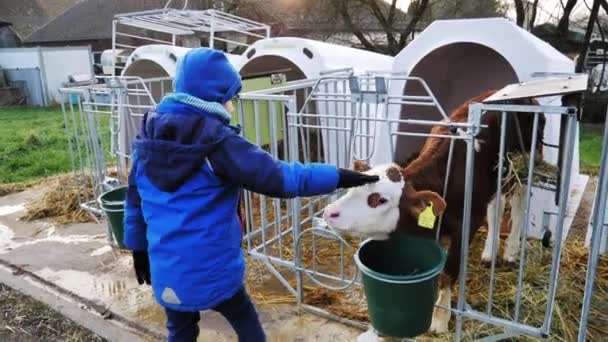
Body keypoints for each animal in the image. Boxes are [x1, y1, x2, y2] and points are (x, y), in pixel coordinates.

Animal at [324, 89, 548, 332]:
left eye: (380, 200)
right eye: (353, 188)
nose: (329, 211)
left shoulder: (467, 226)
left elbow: (448, 272)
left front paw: (440, 319)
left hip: (525, 164)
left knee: (519, 205)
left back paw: (511, 252)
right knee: (495, 207)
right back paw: (489, 252)